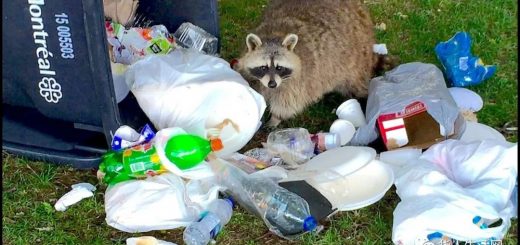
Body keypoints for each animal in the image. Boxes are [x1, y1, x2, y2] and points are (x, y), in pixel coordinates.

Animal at [233, 0, 394, 127]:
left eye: (279, 67)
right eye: (263, 67)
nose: (272, 84)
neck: (274, 36)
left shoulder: (302, 79)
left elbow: (288, 101)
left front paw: (276, 117)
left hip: (356, 61)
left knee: (356, 84)